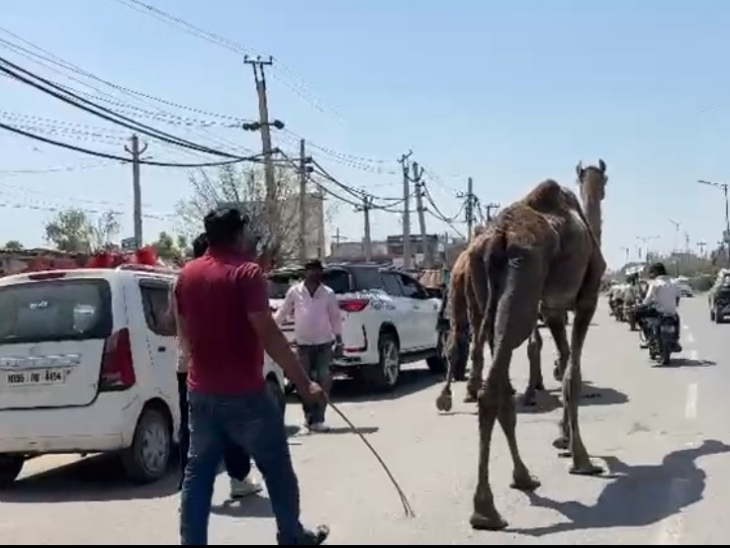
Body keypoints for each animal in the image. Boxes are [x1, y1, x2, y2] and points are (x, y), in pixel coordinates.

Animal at [438, 178, 606, 530]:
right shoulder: (587, 296)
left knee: (494, 376)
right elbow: (573, 374)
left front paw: (563, 440)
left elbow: (565, 362)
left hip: (484, 291)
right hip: (523, 284)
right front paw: (582, 458)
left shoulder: (554, 308)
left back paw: (523, 478)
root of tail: (495, 240)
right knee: (494, 382)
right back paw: (486, 510)